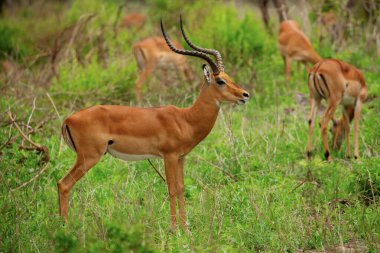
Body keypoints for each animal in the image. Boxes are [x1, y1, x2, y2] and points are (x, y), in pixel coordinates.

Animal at [58, 17, 249, 231]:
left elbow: (181, 188)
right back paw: (64, 227)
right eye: (220, 81)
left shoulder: (181, 158)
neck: (186, 119)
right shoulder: (169, 156)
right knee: (63, 184)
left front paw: (185, 228)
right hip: (89, 157)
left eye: (229, 77)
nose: (245, 95)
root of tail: (68, 119)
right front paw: (174, 229)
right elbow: (171, 188)